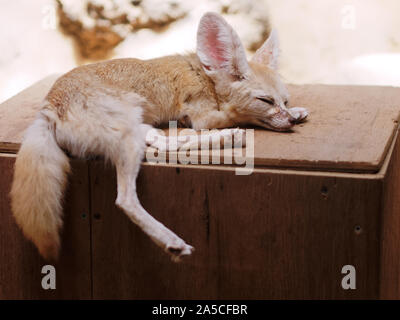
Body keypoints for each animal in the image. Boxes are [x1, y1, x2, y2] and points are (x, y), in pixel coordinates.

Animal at [10, 12, 310, 262]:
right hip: (128, 136)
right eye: (265, 100)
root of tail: (48, 107)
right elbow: (236, 114)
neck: (206, 77)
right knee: (126, 199)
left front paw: (297, 112)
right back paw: (171, 241)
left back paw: (228, 139)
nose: (289, 120)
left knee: (164, 144)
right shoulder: (202, 116)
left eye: (284, 100)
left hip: (139, 127)